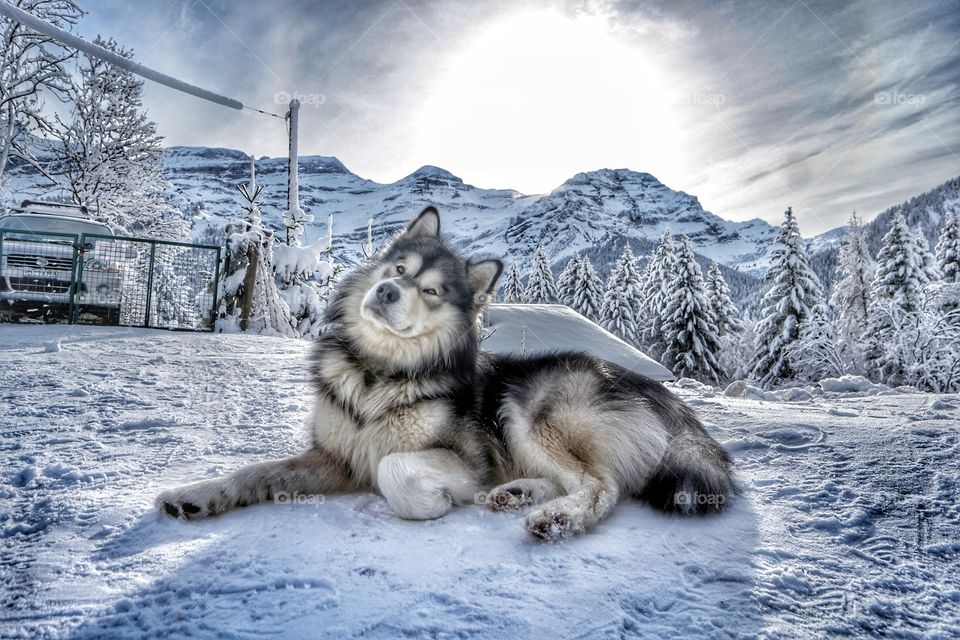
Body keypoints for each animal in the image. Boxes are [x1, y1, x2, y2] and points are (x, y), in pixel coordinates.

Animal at [158, 206, 736, 540]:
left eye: (432, 290)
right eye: (399, 269)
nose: (386, 291)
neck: (379, 373)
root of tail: (660, 393)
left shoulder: (466, 461)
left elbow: (394, 468)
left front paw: (431, 503)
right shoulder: (335, 457)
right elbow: (254, 473)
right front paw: (198, 494)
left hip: (528, 413)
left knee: (600, 486)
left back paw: (557, 517)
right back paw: (519, 494)